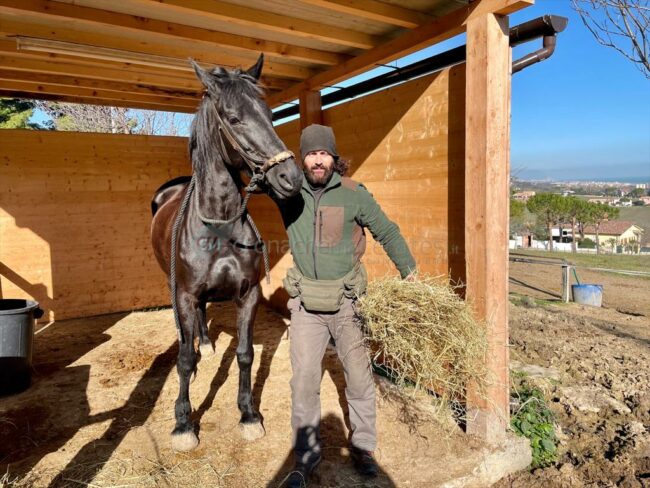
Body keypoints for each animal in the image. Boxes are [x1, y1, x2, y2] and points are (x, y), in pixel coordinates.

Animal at [150, 54, 303, 452]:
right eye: (234, 119)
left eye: (269, 113)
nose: (291, 178)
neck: (218, 225)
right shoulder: (186, 294)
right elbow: (183, 360)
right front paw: (183, 424)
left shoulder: (248, 295)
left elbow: (245, 355)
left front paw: (248, 414)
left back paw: (206, 343)